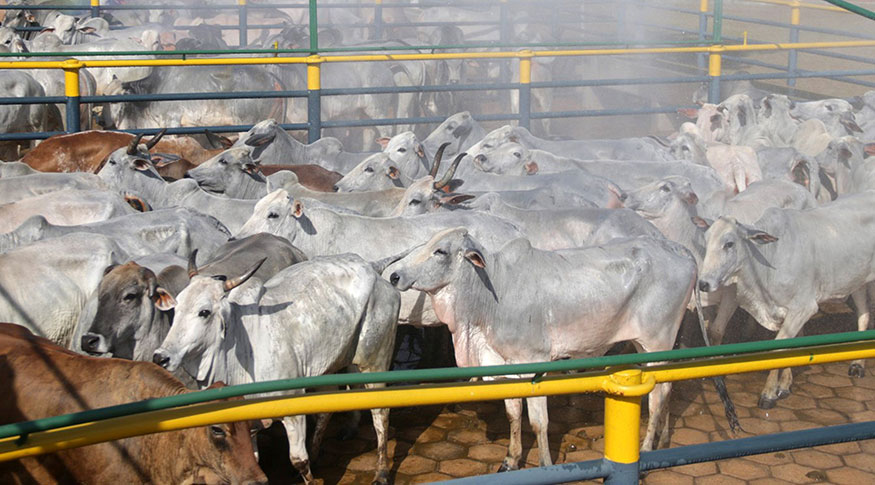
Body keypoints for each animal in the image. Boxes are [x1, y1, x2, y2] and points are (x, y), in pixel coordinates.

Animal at [156, 251, 402, 482]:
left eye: (204, 312)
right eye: (176, 309)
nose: (161, 357)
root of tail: (371, 267)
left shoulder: (293, 410)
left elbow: (298, 460)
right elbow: (253, 459)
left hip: (375, 359)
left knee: (380, 414)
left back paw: (381, 472)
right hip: (331, 364)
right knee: (326, 410)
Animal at [390, 229, 740, 470]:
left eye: (440, 251)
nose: (394, 275)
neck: (492, 291)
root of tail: (680, 249)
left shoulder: (534, 363)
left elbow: (538, 422)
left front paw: (545, 464)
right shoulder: (504, 363)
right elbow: (513, 413)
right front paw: (510, 459)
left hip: (657, 342)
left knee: (658, 396)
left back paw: (648, 449)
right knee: (668, 389)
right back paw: (663, 440)